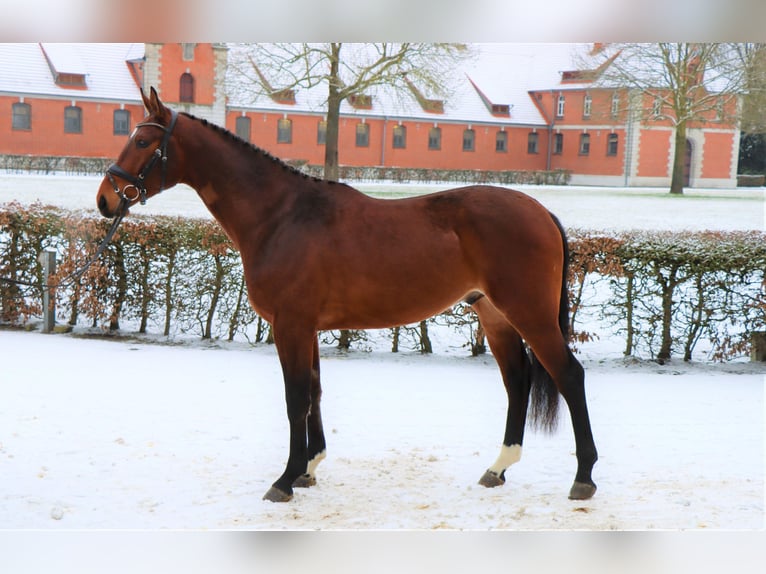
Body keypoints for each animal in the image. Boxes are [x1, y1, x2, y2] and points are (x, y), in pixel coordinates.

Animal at [97, 88, 600, 506]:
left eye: (144, 141)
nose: (105, 199)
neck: (281, 216)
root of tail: (540, 211)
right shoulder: (306, 328)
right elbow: (315, 391)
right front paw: (309, 468)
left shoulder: (291, 325)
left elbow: (296, 397)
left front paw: (285, 479)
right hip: (494, 315)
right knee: (517, 381)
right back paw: (498, 468)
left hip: (529, 314)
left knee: (569, 376)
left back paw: (583, 478)